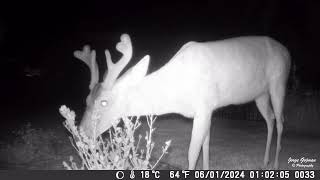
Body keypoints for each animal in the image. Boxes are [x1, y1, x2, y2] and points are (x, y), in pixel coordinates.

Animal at [74, 34, 290, 170]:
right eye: (86, 99)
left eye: (104, 102)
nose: (80, 134)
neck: (177, 91)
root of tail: (287, 53)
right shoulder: (208, 110)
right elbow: (206, 145)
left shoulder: (203, 107)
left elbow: (193, 152)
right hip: (260, 94)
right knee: (270, 119)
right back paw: (265, 162)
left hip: (278, 83)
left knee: (280, 121)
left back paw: (276, 164)